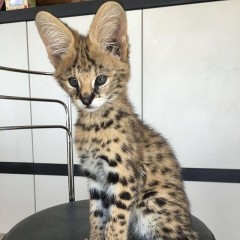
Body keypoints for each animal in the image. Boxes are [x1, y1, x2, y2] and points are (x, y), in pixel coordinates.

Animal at [35, 1, 199, 240]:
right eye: (73, 81)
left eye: (101, 79)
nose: (86, 99)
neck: (95, 123)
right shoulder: (95, 177)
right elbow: (96, 215)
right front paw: (95, 236)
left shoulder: (123, 177)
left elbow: (116, 220)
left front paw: (112, 236)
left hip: (150, 201)